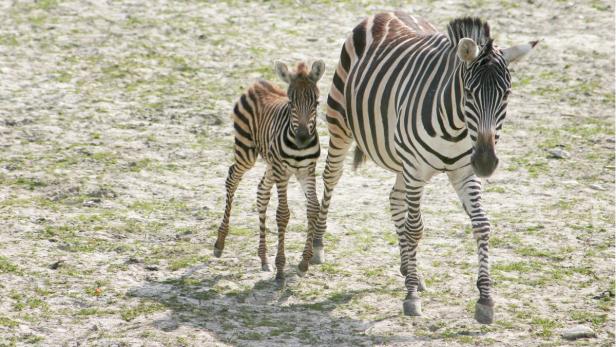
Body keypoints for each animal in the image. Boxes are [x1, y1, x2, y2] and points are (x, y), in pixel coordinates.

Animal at [214, 60, 324, 282]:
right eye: (290, 103)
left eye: (316, 103)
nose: (302, 138)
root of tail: (258, 84)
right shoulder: (282, 170)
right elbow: (283, 213)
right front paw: (281, 269)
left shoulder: (307, 171)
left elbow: (313, 208)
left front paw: (304, 262)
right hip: (246, 151)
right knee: (232, 179)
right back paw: (220, 243)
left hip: (271, 165)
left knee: (262, 192)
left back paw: (263, 258)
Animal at [310, 12, 536, 324]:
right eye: (468, 93)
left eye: (507, 94)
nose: (486, 162)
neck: (456, 126)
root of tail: (384, 13)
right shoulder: (416, 169)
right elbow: (415, 228)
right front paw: (411, 298)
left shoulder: (463, 172)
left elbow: (481, 225)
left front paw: (485, 299)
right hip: (340, 123)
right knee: (331, 177)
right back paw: (317, 246)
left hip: (401, 159)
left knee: (394, 198)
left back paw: (410, 270)